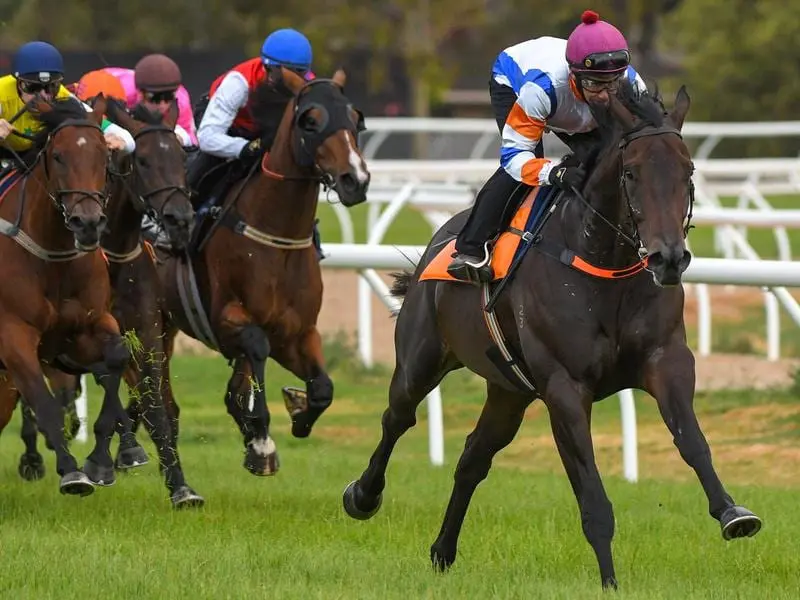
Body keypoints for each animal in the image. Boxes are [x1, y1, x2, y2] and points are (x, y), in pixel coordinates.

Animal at [0, 96, 133, 494]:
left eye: (104, 156)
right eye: (58, 155)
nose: (86, 223)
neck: (52, 257)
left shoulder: (85, 329)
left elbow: (117, 358)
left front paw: (100, 460)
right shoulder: (13, 334)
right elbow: (42, 401)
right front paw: (71, 471)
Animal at [155, 68, 370, 476]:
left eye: (356, 119)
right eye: (310, 121)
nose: (356, 180)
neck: (276, 237)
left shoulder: (297, 332)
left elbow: (322, 388)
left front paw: (297, 412)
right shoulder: (226, 319)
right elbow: (255, 349)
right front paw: (261, 440)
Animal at [342, 82, 764, 588]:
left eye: (689, 171)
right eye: (631, 173)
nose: (668, 258)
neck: (606, 267)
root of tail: (438, 240)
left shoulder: (666, 360)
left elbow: (692, 440)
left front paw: (732, 513)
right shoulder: (564, 387)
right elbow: (592, 495)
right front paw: (610, 583)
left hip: (510, 391)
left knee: (473, 458)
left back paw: (442, 552)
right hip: (422, 358)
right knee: (397, 418)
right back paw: (363, 496)